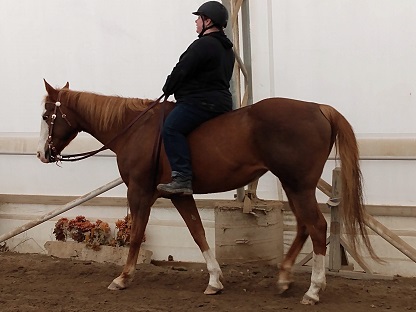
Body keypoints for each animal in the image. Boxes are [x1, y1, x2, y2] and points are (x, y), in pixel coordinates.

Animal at [36, 80, 376, 304]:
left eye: (45, 116)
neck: (135, 128)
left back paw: (313, 290)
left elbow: (136, 234)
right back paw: (283, 279)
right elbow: (198, 231)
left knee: (317, 227)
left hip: (299, 185)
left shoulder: (140, 192)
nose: (42, 153)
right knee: (305, 227)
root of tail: (320, 109)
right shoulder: (179, 194)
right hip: (294, 186)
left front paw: (122, 278)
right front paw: (214, 280)